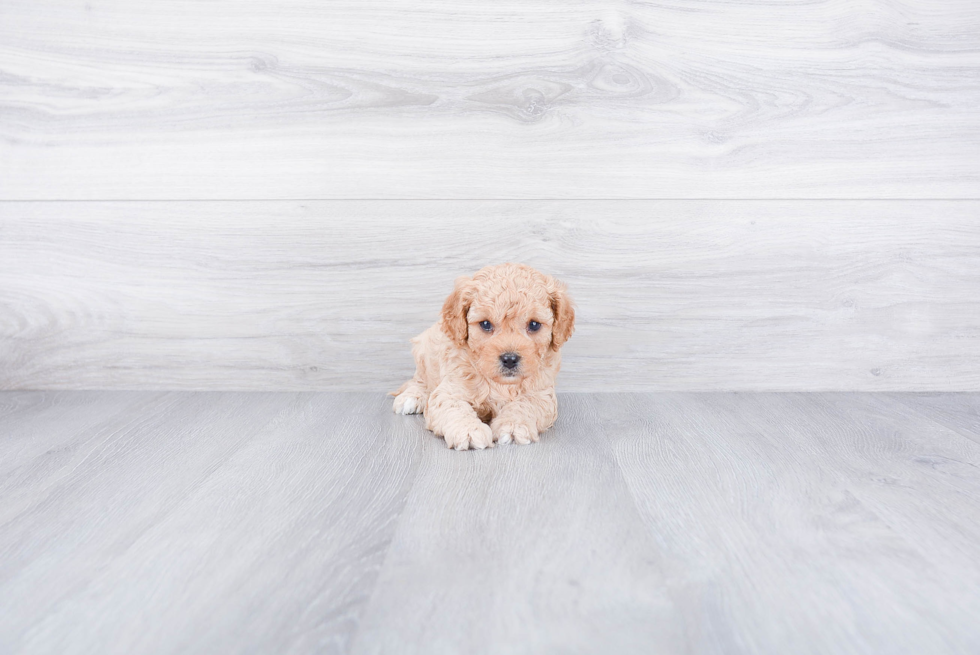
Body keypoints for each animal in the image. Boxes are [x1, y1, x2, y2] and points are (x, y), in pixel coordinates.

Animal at [390, 262, 576, 452]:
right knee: (419, 380)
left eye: (534, 324)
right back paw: (411, 397)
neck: (500, 384)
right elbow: (454, 408)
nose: (510, 359)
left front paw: (512, 426)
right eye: (485, 324)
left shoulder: (542, 394)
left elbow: (525, 404)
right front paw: (468, 430)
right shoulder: (449, 391)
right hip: (424, 349)